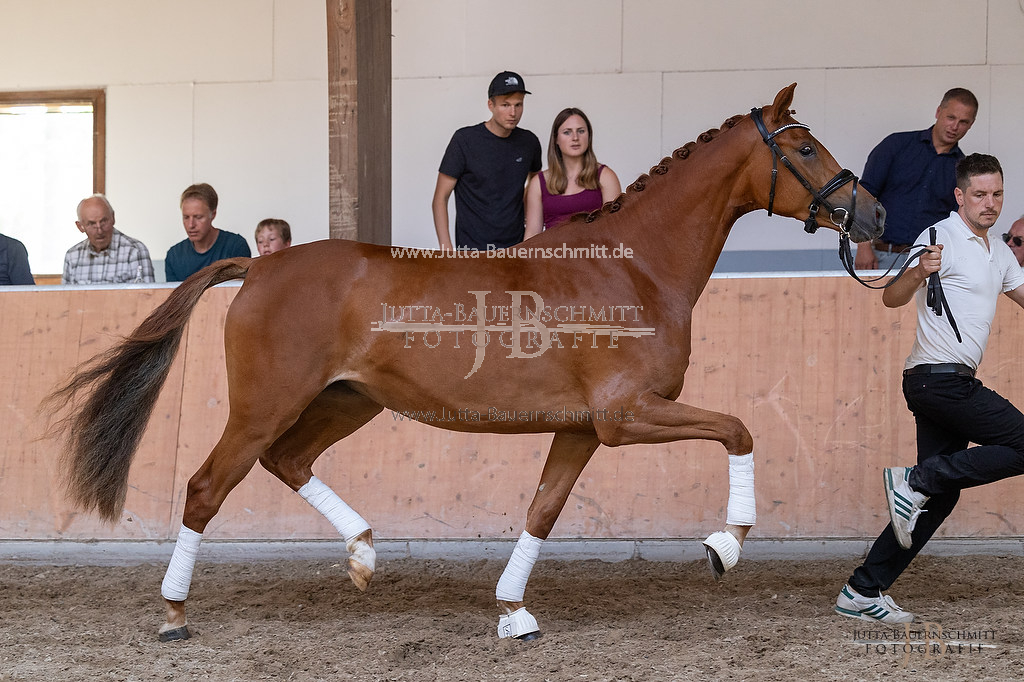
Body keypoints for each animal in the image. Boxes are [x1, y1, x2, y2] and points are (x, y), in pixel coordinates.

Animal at [46, 83, 880, 638]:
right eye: (805, 148)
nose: (871, 215)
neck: (632, 268)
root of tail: (260, 265)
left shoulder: (583, 428)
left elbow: (543, 509)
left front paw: (514, 612)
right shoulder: (627, 416)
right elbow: (738, 429)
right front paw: (724, 546)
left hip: (347, 401)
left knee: (289, 462)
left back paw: (363, 555)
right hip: (264, 405)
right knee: (206, 488)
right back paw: (175, 611)